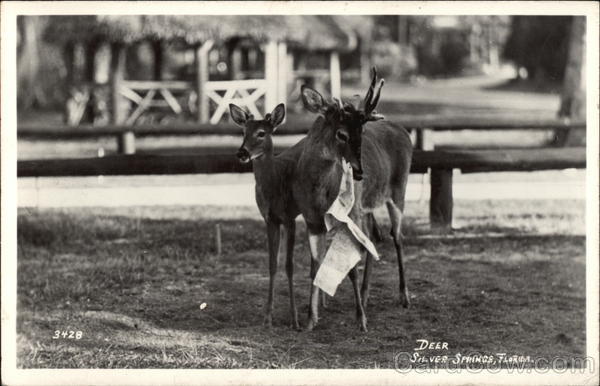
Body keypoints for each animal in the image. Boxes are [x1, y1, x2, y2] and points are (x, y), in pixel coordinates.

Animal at [294, 69, 412, 332]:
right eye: (342, 134)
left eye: (362, 133)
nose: (359, 173)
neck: (318, 191)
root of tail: (404, 131)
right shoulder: (311, 220)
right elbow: (314, 266)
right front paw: (310, 319)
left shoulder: (348, 214)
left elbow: (351, 270)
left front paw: (361, 320)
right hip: (366, 206)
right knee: (374, 237)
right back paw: (367, 296)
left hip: (398, 190)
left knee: (397, 237)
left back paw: (404, 296)